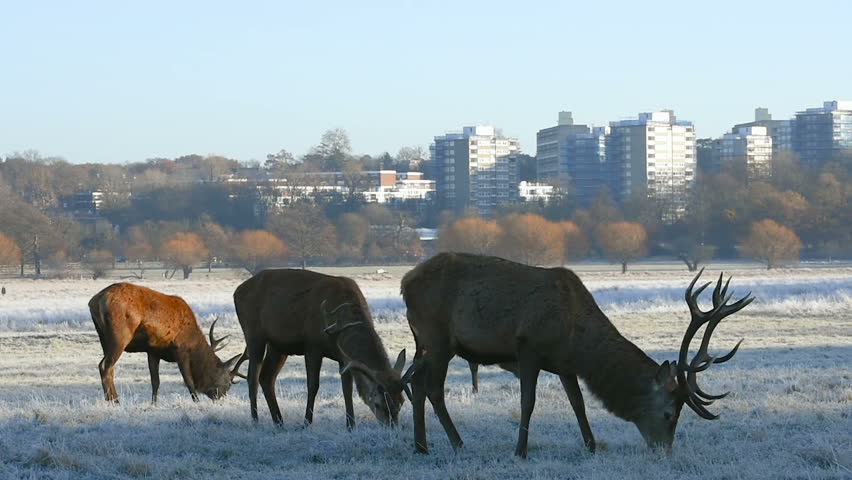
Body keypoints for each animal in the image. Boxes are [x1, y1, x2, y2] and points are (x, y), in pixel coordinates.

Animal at [88, 283, 245, 403]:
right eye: (227, 382)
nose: (221, 397)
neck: (192, 339)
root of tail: (96, 300)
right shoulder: (180, 349)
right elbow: (188, 381)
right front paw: (197, 402)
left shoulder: (153, 350)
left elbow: (155, 381)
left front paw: (154, 403)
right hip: (120, 335)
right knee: (105, 365)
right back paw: (114, 401)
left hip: (103, 336)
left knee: (109, 367)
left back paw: (112, 399)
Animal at [233, 268, 408, 428]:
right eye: (379, 403)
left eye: (401, 401)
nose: (392, 426)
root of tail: (236, 292)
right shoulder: (312, 346)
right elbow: (313, 385)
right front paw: (306, 422)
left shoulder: (344, 357)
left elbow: (347, 389)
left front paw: (350, 425)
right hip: (253, 334)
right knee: (252, 377)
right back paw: (255, 420)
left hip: (278, 346)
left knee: (267, 377)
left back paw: (279, 421)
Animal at [399, 252, 752, 458]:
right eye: (669, 414)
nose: (663, 450)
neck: (577, 339)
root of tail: (405, 282)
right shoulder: (528, 347)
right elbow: (528, 402)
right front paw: (520, 450)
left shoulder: (565, 364)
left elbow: (578, 403)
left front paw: (591, 445)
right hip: (437, 337)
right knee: (433, 389)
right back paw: (457, 443)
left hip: (422, 341)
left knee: (416, 383)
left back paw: (421, 447)